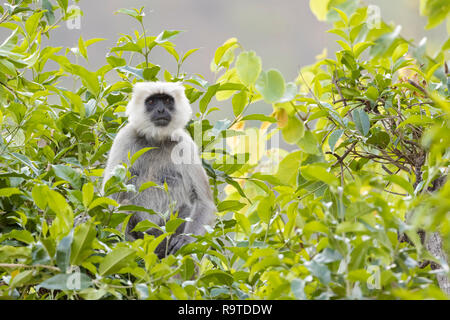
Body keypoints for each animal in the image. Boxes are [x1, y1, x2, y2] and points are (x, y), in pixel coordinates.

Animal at [104, 82, 217, 258]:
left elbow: (204, 202)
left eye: (166, 100)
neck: (156, 140)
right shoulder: (125, 138)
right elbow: (111, 197)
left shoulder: (185, 144)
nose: (161, 110)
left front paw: (184, 241)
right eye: (151, 101)